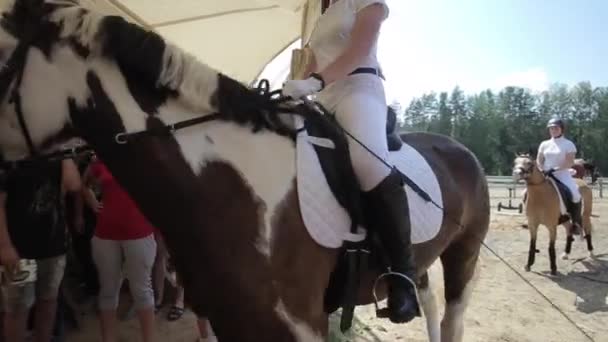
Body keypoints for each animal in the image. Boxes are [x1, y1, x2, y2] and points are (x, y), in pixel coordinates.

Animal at [0, 1, 490, 340]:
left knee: (452, 317)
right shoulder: (232, 319)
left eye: (2, 57)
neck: (236, 186)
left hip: (463, 256)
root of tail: (460, 150)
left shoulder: (296, 325)